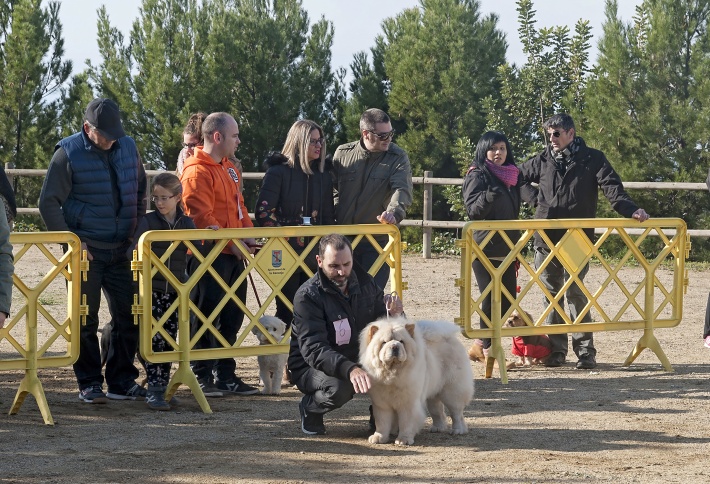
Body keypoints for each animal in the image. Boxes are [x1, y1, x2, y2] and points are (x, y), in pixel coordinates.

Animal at [362, 318, 472, 446]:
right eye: (384, 342)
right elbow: (382, 422)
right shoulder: (381, 403)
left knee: (456, 413)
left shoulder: (408, 403)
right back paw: (438, 428)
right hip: (433, 394)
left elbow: (406, 422)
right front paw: (379, 437)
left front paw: (403, 439)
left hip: (452, 392)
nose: (394, 346)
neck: (392, 373)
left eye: (401, 341)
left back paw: (458, 430)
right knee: (437, 411)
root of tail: (449, 338)